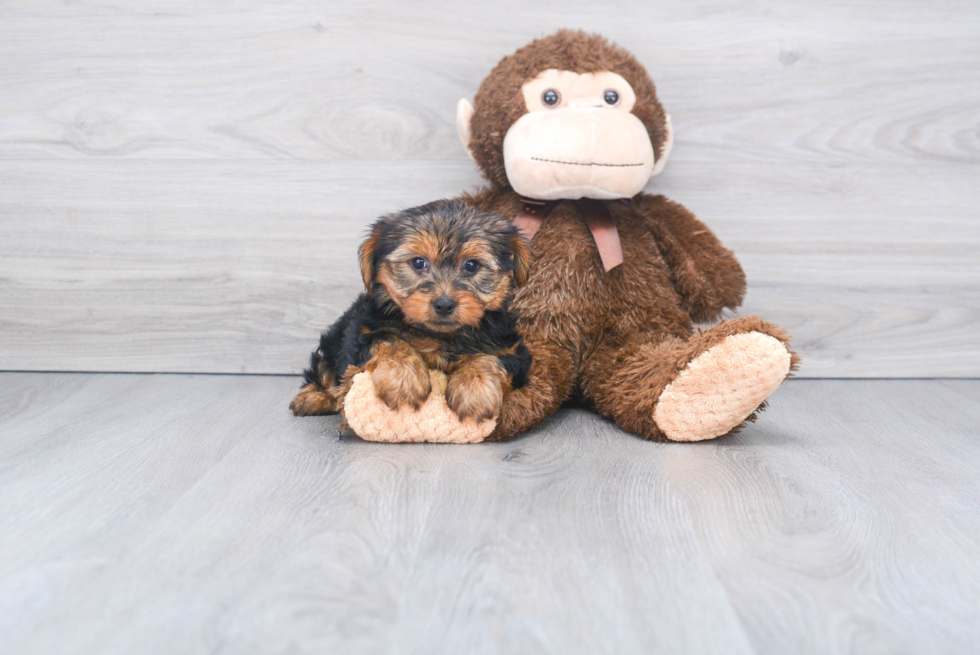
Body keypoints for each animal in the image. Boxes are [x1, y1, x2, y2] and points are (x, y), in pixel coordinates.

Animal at [290, 200, 532, 422]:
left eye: (471, 265)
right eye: (418, 262)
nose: (444, 304)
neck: (438, 335)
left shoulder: (512, 350)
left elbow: (489, 356)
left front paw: (475, 389)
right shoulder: (362, 332)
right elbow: (388, 339)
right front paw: (404, 380)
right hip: (335, 337)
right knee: (324, 367)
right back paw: (312, 397)